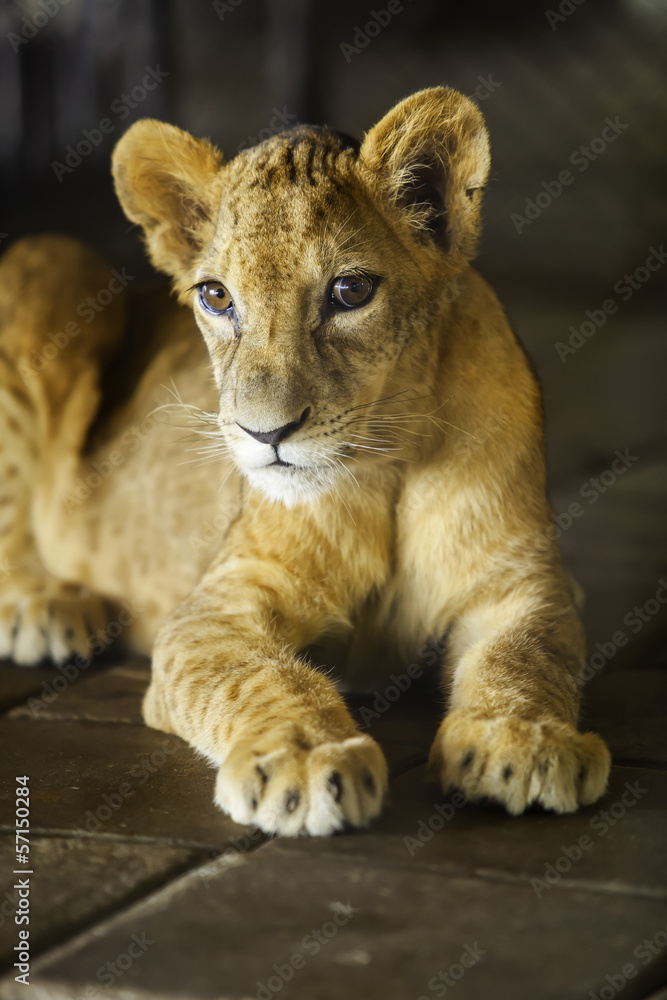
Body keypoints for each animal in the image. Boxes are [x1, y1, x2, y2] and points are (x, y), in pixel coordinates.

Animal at [0, 87, 611, 835]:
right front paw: (303, 760)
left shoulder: (517, 586)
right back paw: (44, 607)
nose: (266, 433)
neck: (387, 464)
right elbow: (258, 676)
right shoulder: (215, 608)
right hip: (52, 259)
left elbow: (525, 656)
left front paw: (520, 741)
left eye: (350, 292)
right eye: (216, 296)